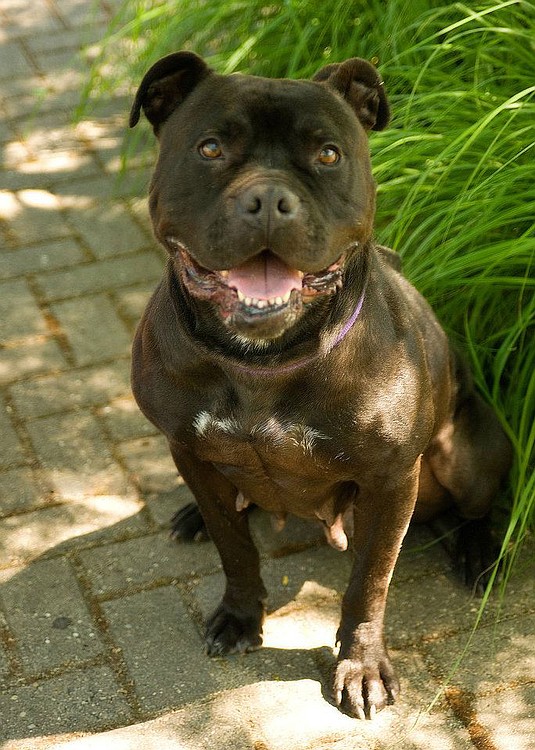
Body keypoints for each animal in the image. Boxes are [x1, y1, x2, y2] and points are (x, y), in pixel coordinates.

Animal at [127, 50, 512, 720]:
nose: (267, 198)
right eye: (209, 148)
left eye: (329, 155)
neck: (260, 362)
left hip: (468, 449)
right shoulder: (187, 449)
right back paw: (195, 514)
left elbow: (368, 586)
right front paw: (239, 615)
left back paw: (476, 552)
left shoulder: (390, 482)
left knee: (476, 507)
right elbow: (235, 547)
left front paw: (361, 667)